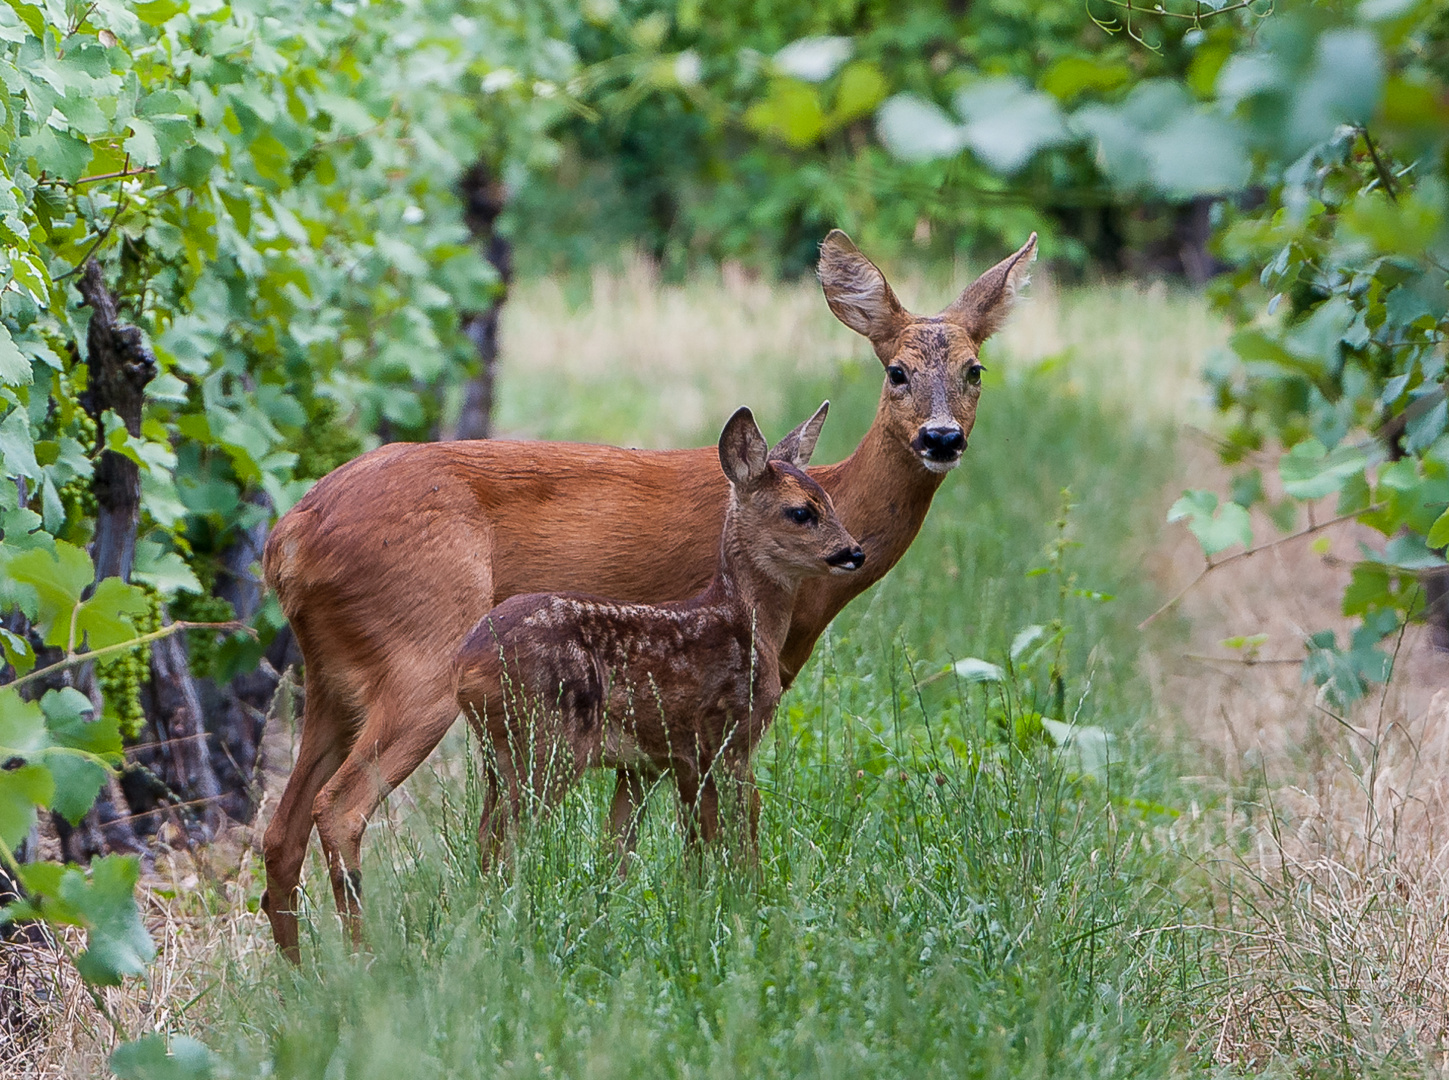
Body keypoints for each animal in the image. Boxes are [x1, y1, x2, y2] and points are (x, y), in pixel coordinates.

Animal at [452, 405, 857, 869]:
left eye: (830, 500)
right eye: (801, 512)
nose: (854, 553)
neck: (747, 624)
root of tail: (463, 666)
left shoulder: (662, 759)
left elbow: (653, 845)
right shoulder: (728, 734)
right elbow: (742, 834)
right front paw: (749, 885)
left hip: (502, 750)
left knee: (488, 834)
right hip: (549, 736)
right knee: (509, 838)